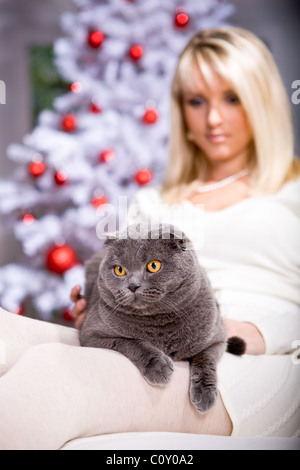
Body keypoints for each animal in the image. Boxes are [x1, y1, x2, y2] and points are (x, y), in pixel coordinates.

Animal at [79, 223, 244, 412]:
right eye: (119, 270)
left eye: (153, 266)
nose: (133, 286)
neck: (159, 323)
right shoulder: (91, 333)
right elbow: (130, 341)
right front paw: (158, 366)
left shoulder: (218, 338)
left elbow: (206, 359)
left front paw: (205, 394)